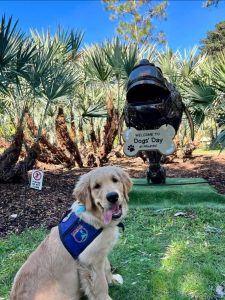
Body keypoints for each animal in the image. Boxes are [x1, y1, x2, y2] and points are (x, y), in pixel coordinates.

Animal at [10, 166, 133, 300]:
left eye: (115, 180)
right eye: (96, 186)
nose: (112, 196)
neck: (97, 218)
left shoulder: (101, 252)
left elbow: (107, 266)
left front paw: (113, 280)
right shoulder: (90, 261)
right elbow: (100, 284)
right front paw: (105, 295)